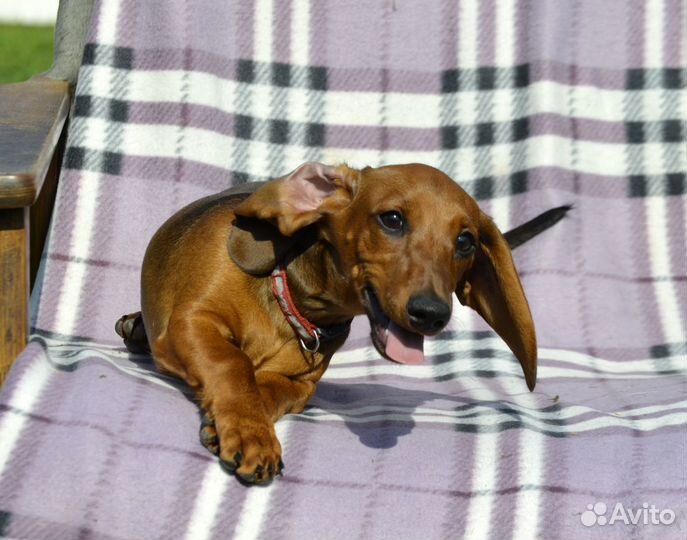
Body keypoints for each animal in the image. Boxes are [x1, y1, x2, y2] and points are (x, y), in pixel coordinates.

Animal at [117, 163, 568, 486]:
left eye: (465, 241)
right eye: (392, 219)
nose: (431, 314)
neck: (292, 302)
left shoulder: (301, 386)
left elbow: (263, 386)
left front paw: (242, 424)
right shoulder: (190, 323)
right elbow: (232, 363)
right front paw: (249, 434)